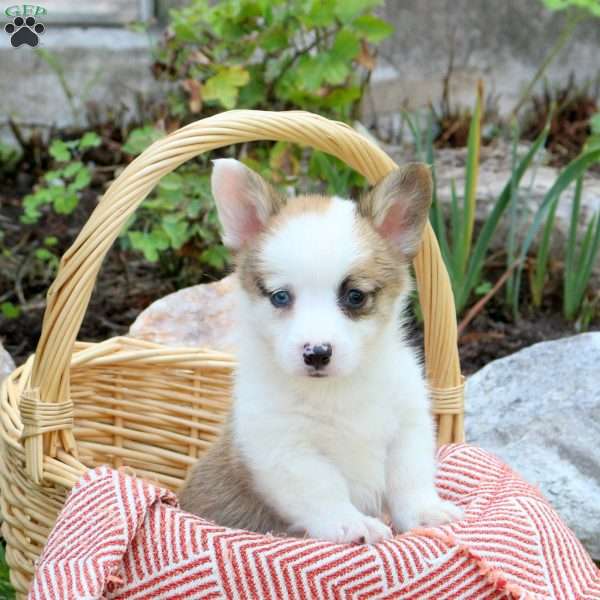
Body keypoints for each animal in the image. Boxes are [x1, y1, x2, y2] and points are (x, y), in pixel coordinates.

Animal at [176, 157, 462, 540]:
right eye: (281, 297)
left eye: (355, 296)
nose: (317, 353)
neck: (339, 388)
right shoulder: (288, 451)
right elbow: (325, 490)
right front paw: (352, 524)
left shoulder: (408, 427)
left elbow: (409, 478)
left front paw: (426, 512)